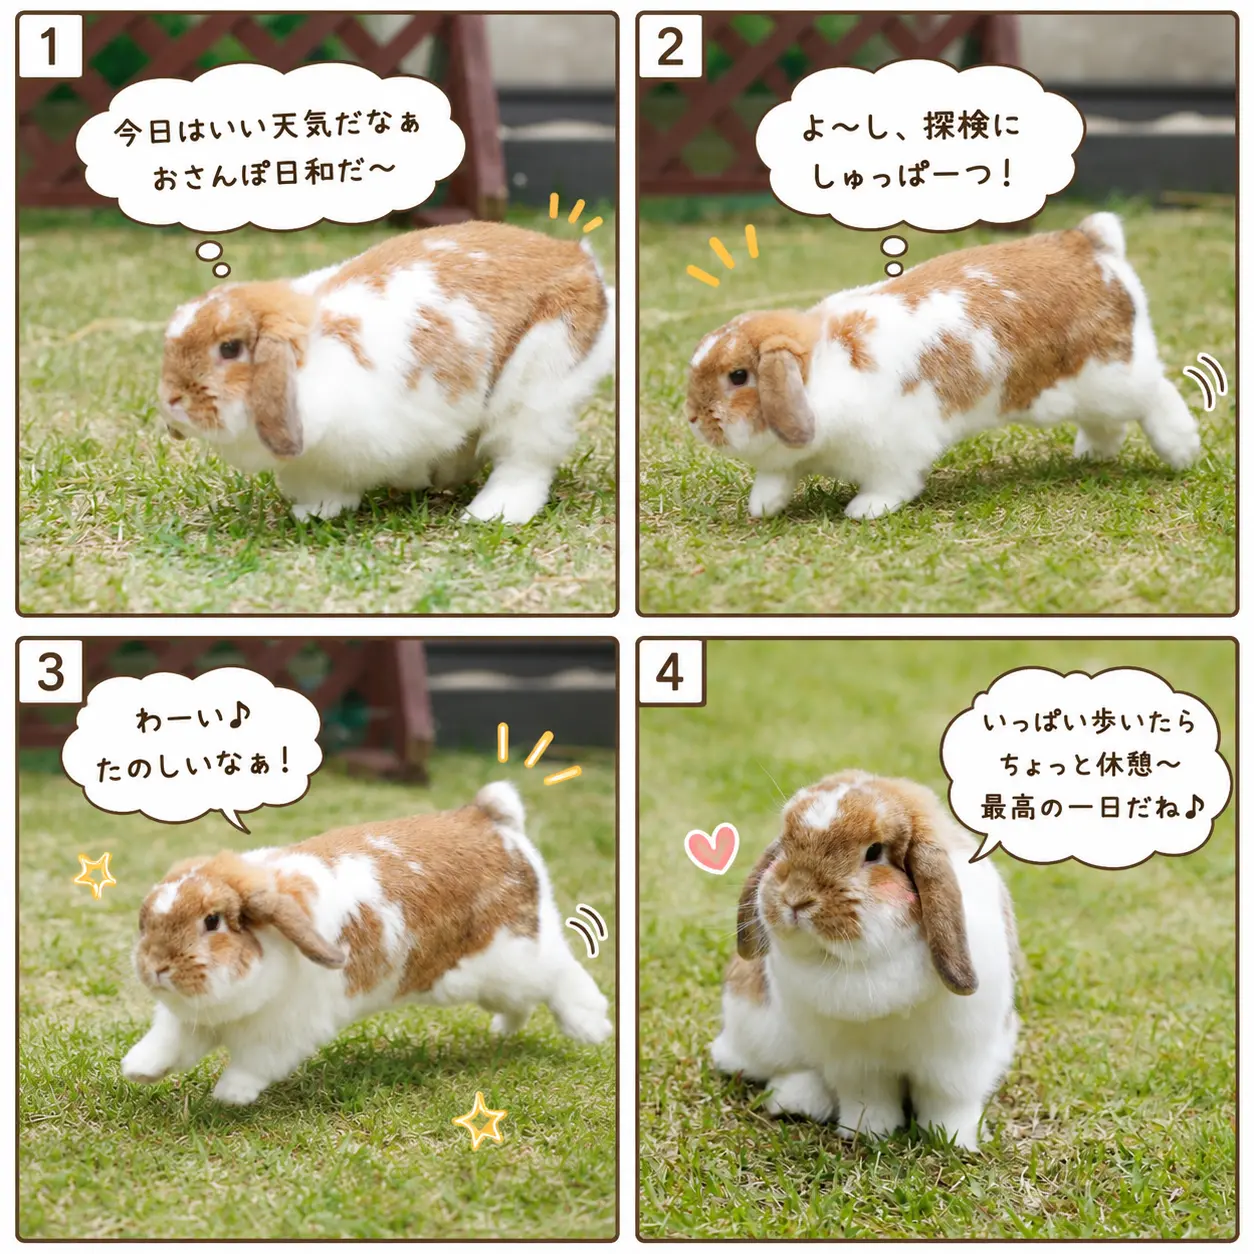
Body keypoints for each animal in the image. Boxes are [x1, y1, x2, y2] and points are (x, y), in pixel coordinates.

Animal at [121, 782, 612, 1105]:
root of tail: (491, 820)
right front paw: (138, 1069)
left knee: (564, 976)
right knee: (522, 1002)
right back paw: (504, 1030)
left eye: (213, 921)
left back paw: (591, 1029)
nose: (157, 967)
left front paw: (229, 1095)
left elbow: (255, 1062)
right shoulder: (192, 1022)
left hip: (516, 958)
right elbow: (168, 1043)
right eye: (148, 920)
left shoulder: (285, 1031)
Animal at [159, 221, 615, 524]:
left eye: (230, 348)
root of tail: (579, 257)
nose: (171, 399)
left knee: (524, 458)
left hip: (541, 381)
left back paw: (492, 513)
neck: (313, 365)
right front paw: (316, 513)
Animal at [686, 212, 1200, 520]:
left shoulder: (895, 448)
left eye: (738, 376)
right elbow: (776, 478)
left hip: (1114, 375)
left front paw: (864, 509)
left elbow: (893, 482)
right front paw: (762, 506)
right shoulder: (788, 458)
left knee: (1159, 394)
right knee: (1106, 425)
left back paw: (1182, 450)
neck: (822, 373)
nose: (693, 417)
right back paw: (1092, 455)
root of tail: (1092, 246)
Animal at [710, 770, 1019, 1149]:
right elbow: (869, 1098)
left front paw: (953, 1140)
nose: (796, 899)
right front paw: (867, 1133)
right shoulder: (857, 1064)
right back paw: (796, 1099)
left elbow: (949, 1101)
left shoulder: (957, 1059)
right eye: (785, 845)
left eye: (874, 851)